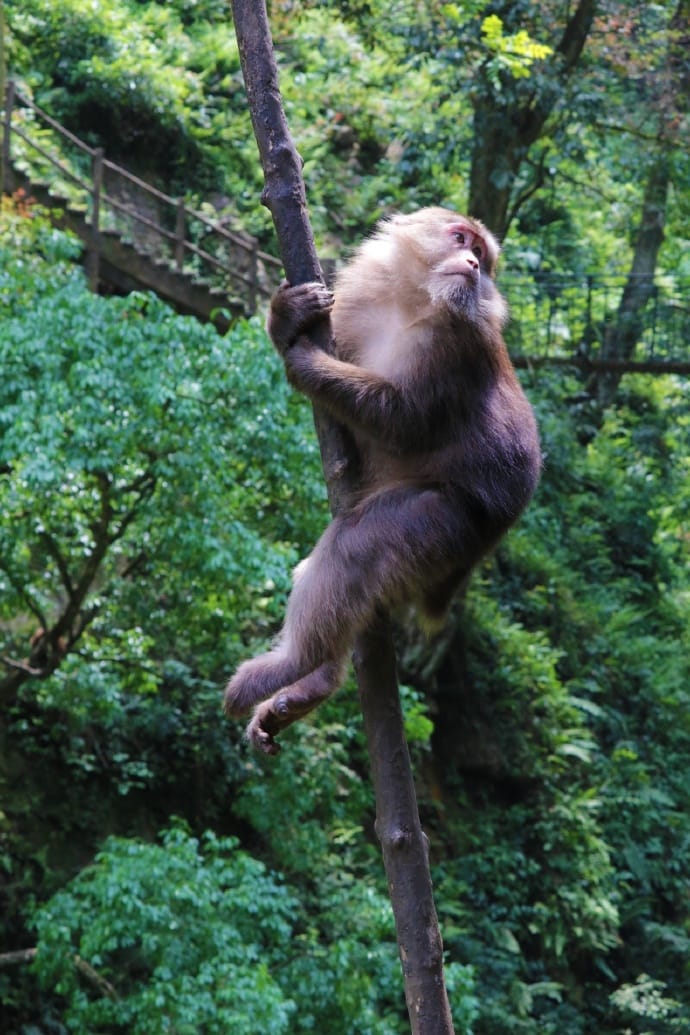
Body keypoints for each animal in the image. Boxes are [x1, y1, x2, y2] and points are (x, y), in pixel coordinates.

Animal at [224, 207, 541, 754]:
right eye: (462, 239)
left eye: (483, 255)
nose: (474, 264)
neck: (412, 300)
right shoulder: (355, 305)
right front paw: (284, 320)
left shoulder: (457, 344)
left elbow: (404, 421)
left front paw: (301, 360)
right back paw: (314, 681)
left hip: (449, 523)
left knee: (355, 547)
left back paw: (297, 665)